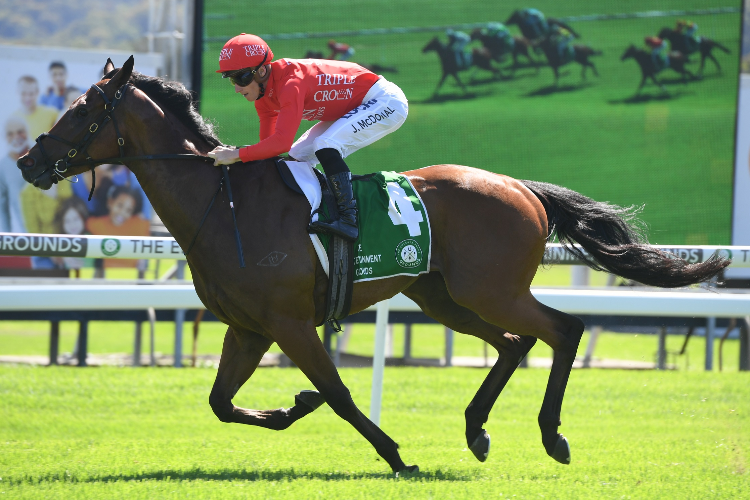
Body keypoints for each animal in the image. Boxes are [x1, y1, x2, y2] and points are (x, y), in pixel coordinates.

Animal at [16, 56, 736, 474]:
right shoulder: (247, 327)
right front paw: (291, 408)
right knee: (514, 342)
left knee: (562, 330)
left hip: (489, 288)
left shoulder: (289, 322)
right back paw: (476, 431)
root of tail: (521, 188)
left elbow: (337, 393)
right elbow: (221, 403)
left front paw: (392, 453)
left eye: (83, 108)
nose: (27, 161)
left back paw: (551, 436)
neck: (223, 204)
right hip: (444, 296)